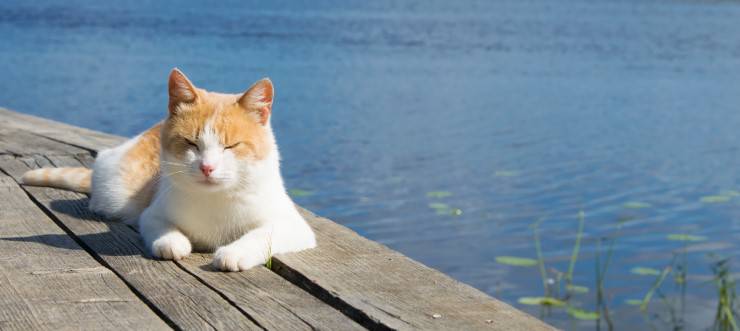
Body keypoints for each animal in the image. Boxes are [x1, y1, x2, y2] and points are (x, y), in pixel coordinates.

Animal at [21, 68, 316, 272]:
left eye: (231, 146)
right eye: (191, 143)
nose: (207, 167)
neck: (215, 199)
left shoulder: (293, 226)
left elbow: (260, 235)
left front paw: (233, 253)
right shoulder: (152, 214)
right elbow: (163, 231)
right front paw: (173, 242)